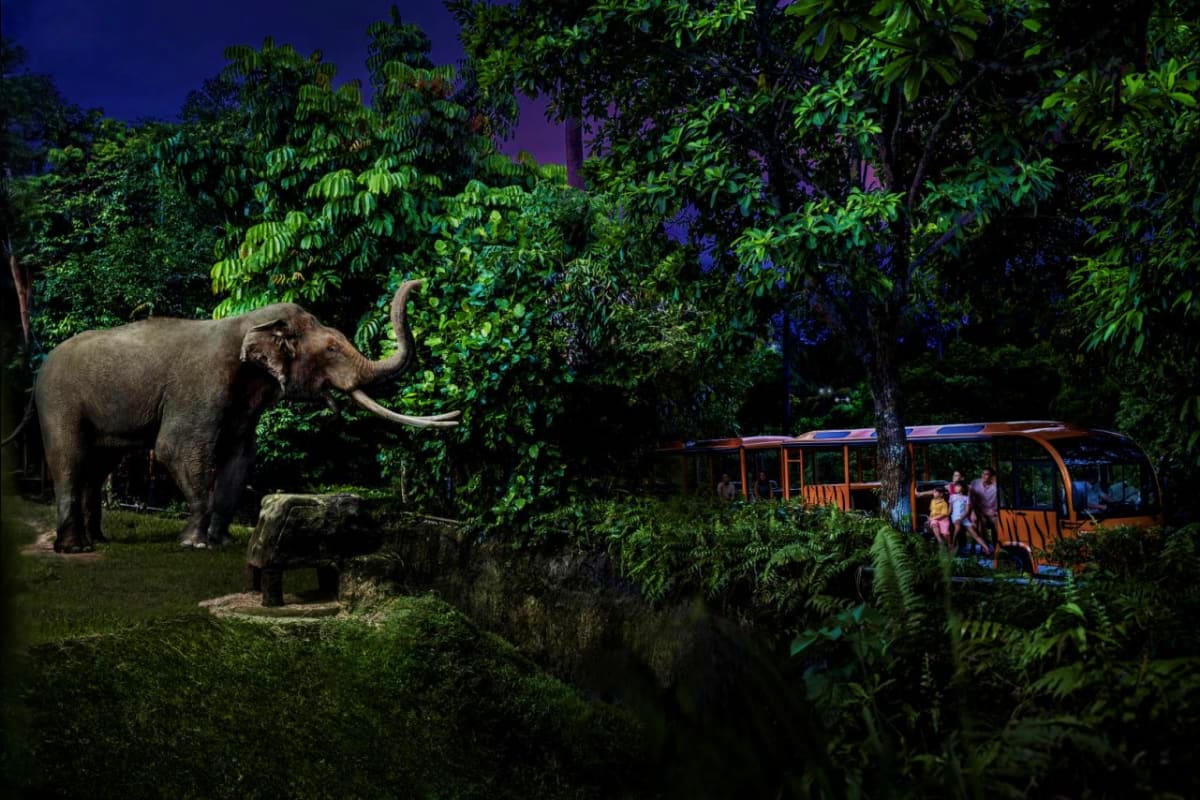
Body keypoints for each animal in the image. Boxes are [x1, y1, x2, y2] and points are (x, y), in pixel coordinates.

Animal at [32, 279, 458, 553]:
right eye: (333, 348)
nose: (421, 282)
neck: (247, 321)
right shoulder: (202, 385)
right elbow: (175, 448)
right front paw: (195, 544)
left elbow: (240, 457)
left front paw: (222, 542)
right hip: (58, 402)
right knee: (70, 459)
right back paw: (75, 549)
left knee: (100, 464)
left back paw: (98, 541)